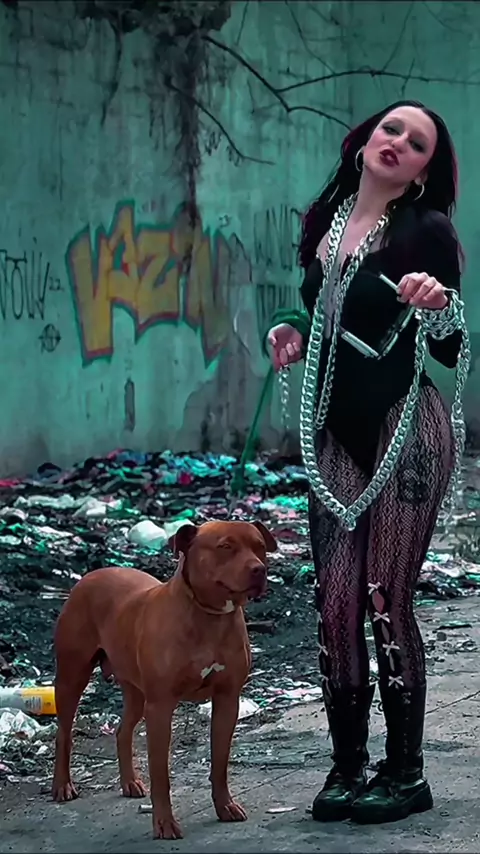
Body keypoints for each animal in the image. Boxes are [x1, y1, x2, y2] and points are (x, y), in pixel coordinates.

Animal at [51, 520, 277, 840]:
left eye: (259, 546)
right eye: (225, 547)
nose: (259, 569)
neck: (208, 615)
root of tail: (93, 574)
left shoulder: (227, 700)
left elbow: (219, 762)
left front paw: (225, 806)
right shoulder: (160, 707)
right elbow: (161, 775)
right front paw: (164, 823)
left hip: (135, 691)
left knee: (123, 730)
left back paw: (129, 782)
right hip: (73, 676)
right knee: (64, 732)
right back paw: (62, 786)